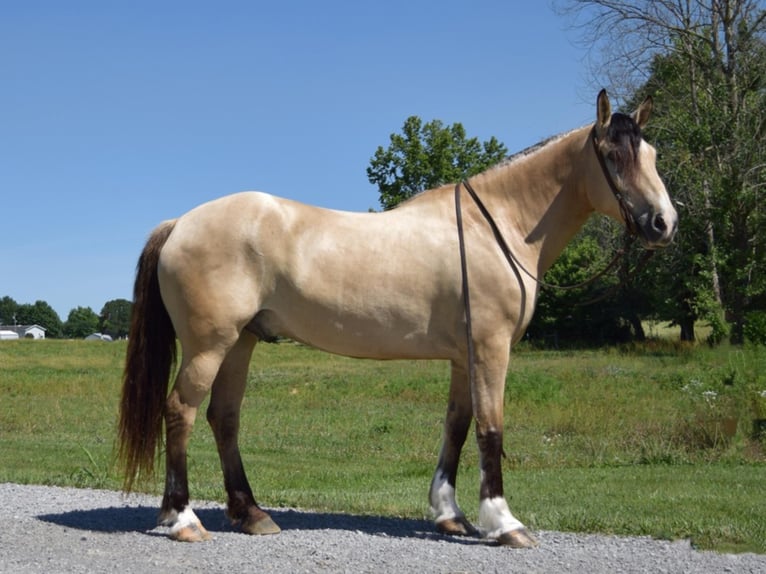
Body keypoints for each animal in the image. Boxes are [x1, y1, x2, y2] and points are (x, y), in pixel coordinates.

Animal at [118, 90, 680, 548]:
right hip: (210, 345)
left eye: (651, 154)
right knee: (181, 411)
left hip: (240, 343)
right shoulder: (492, 348)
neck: (496, 227)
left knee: (224, 418)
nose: (663, 223)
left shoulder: (464, 356)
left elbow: (457, 426)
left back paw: (251, 514)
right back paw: (184, 519)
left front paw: (450, 516)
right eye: (613, 156)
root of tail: (180, 223)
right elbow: (491, 429)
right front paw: (504, 523)